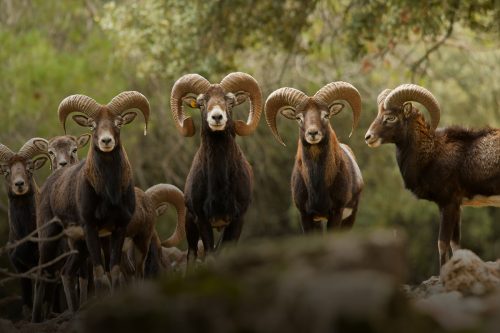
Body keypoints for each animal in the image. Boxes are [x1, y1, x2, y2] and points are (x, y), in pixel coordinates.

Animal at [33, 91, 149, 322]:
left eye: (118, 122)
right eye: (92, 125)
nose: (106, 141)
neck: (109, 192)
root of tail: (50, 183)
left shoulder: (117, 230)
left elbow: (113, 272)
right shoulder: (90, 228)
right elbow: (99, 274)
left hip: (78, 245)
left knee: (67, 273)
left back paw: (74, 312)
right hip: (50, 237)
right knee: (43, 274)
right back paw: (36, 319)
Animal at [169, 72, 262, 262]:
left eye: (230, 101)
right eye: (201, 103)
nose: (217, 117)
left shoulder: (237, 220)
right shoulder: (202, 220)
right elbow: (210, 255)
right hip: (189, 224)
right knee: (192, 254)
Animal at [266, 81, 364, 231]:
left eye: (326, 115)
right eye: (298, 117)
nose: (312, 133)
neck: (317, 184)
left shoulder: (336, 213)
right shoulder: (306, 216)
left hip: (350, 218)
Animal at [364, 84, 500, 266]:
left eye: (390, 117)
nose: (368, 137)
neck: (432, 153)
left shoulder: (448, 204)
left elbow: (442, 245)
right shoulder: (456, 207)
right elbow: (455, 245)